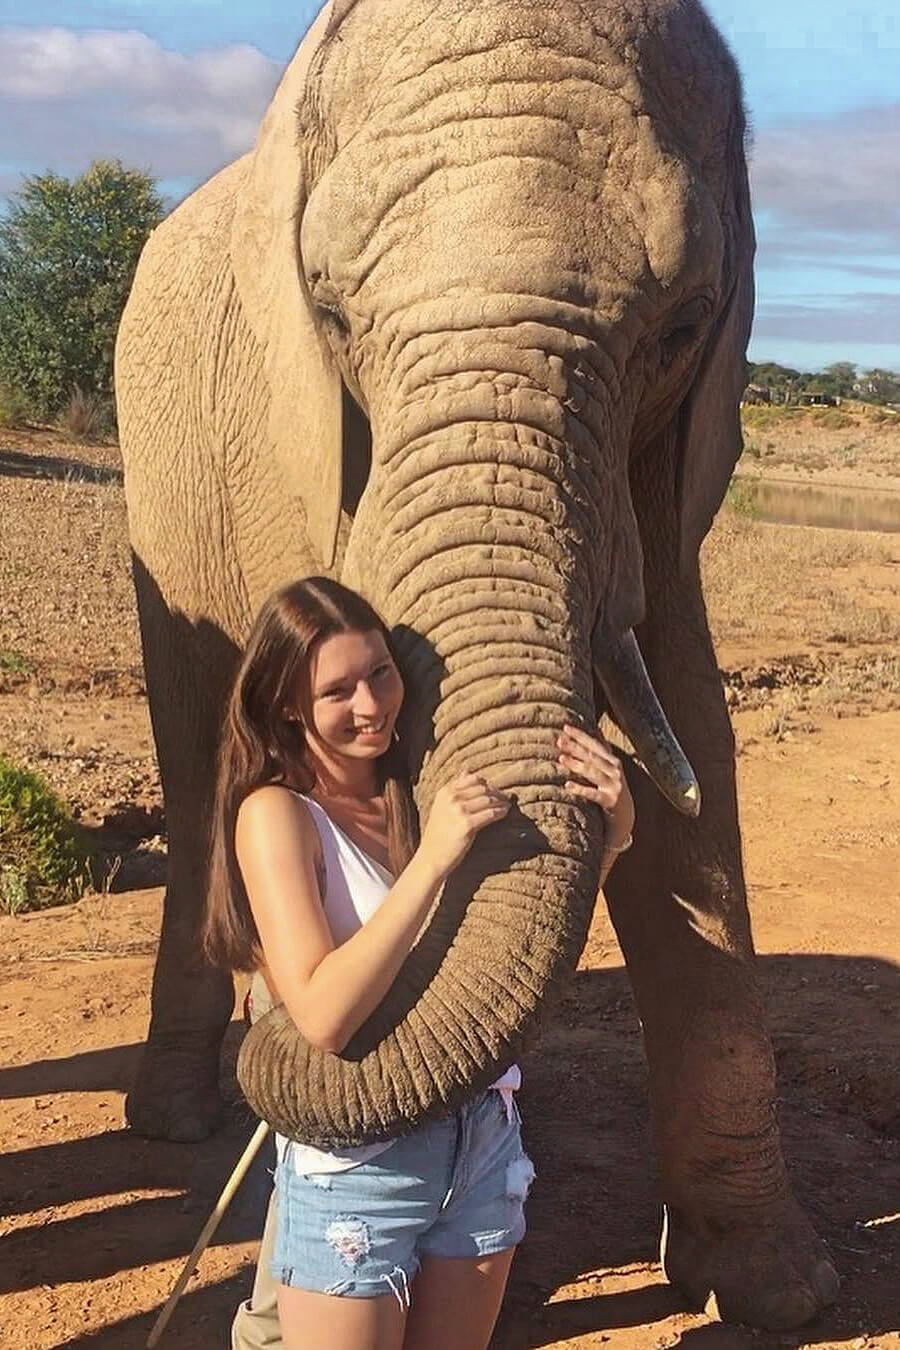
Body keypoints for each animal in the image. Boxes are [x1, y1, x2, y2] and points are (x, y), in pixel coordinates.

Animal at [114, 0, 840, 1329]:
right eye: (330, 310)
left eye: (682, 324)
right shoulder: (286, 446)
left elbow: (689, 750)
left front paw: (777, 1294)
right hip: (165, 482)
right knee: (198, 769)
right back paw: (185, 1122)